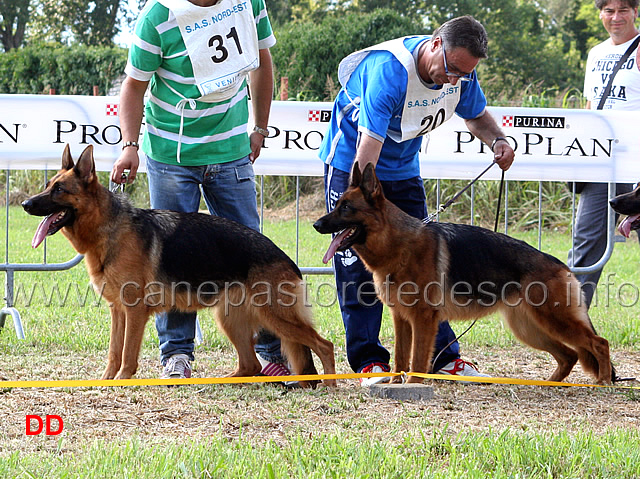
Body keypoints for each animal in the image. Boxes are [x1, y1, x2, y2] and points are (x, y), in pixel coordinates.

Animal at [21, 145, 336, 386]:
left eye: (59, 189)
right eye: (47, 186)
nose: (25, 204)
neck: (108, 228)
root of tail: (287, 259)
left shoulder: (135, 312)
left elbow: (128, 353)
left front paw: (122, 381)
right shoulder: (118, 311)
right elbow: (114, 351)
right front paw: (106, 380)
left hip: (275, 316)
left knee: (324, 345)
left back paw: (330, 384)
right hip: (231, 319)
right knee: (251, 365)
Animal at [316, 163, 616, 384]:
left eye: (346, 207)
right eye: (337, 204)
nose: (316, 224)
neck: (399, 243)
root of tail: (560, 265)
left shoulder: (423, 319)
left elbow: (416, 359)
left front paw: (412, 385)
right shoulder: (401, 319)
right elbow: (401, 358)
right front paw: (393, 385)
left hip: (554, 320)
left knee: (598, 343)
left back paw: (603, 381)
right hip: (530, 328)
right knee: (569, 355)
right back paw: (552, 382)